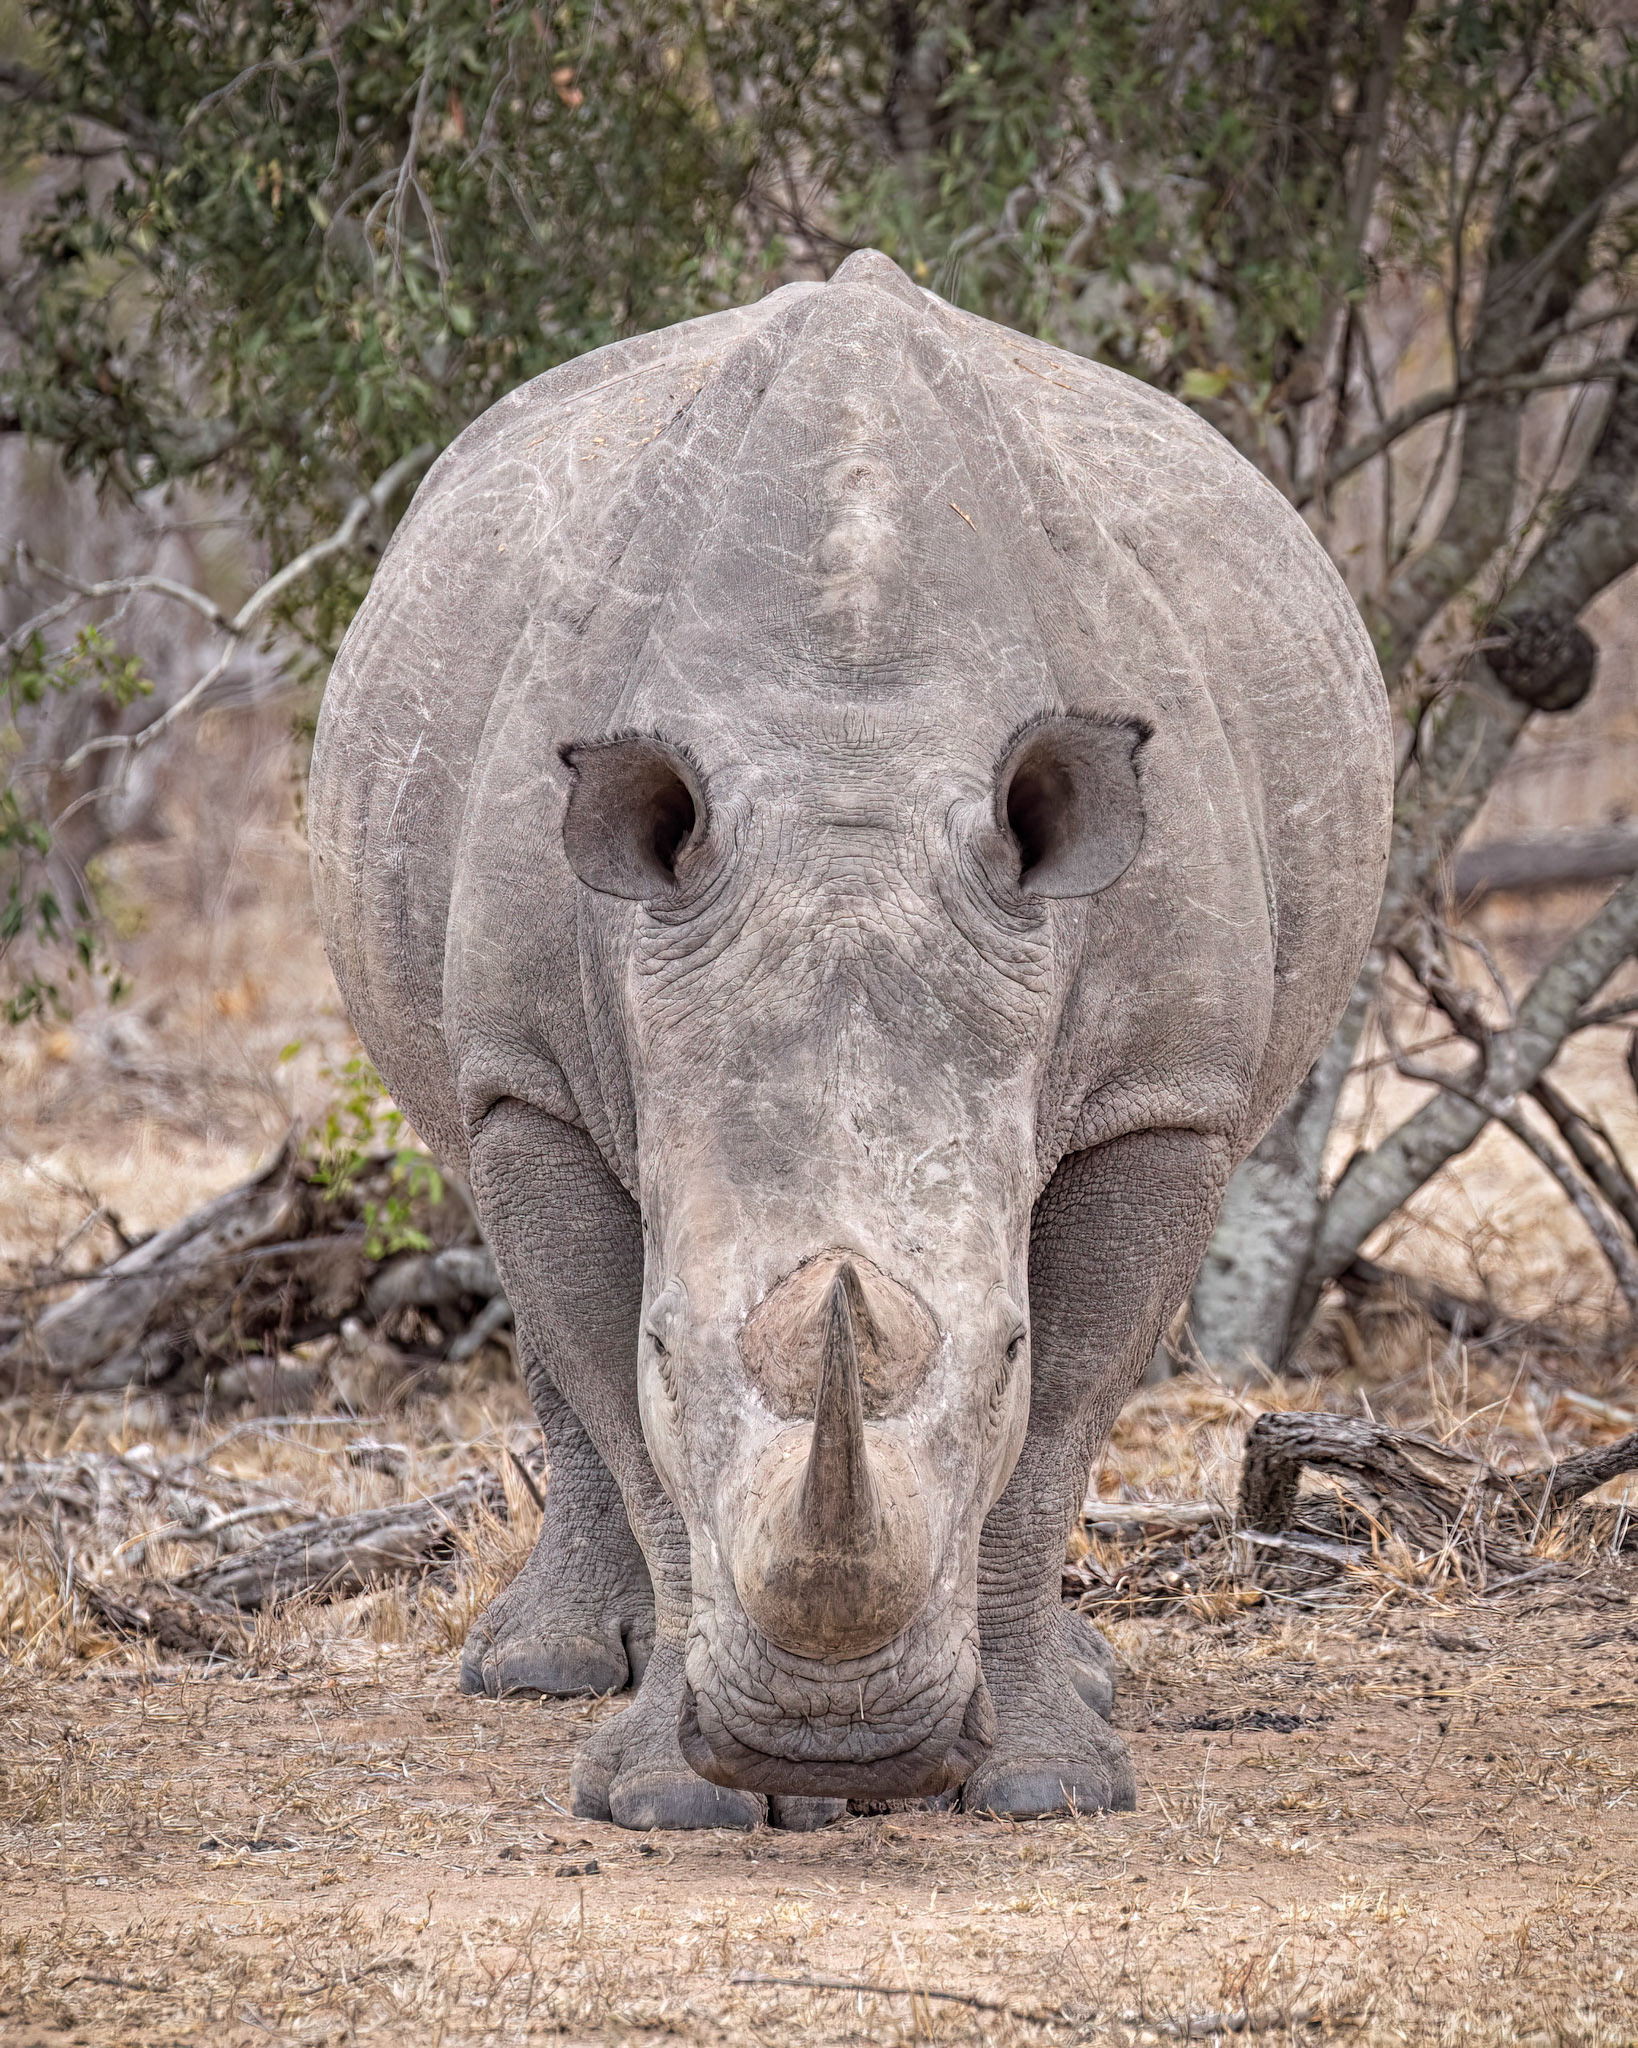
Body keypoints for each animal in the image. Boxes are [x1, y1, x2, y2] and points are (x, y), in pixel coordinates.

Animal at [309, 249, 1391, 1831]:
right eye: (668, 1345)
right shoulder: (538, 1070)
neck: (849, 759)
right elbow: (625, 1405)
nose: (831, 1747)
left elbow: (1061, 1422)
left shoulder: (1162, 1093)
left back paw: (1077, 1680)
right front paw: (671, 1796)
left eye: (1001, 1348)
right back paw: (539, 1672)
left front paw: (1045, 1780)